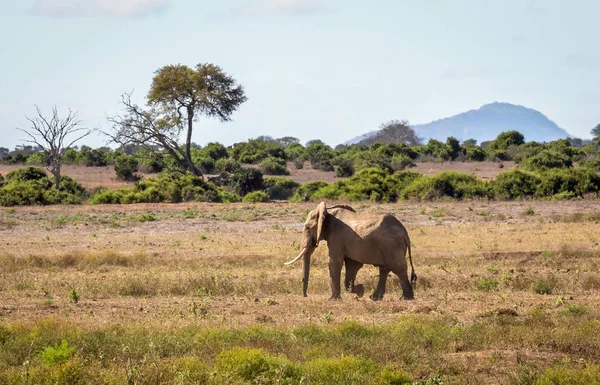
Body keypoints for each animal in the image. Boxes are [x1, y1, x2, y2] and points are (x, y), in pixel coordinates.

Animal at [286, 201, 418, 300]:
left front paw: (333, 299)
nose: (305, 296)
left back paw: (406, 298)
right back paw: (375, 298)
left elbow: (334, 262)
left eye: (307, 227)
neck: (328, 212)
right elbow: (352, 264)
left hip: (392, 246)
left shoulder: (336, 237)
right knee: (384, 269)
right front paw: (360, 291)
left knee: (398, 268)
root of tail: (404, 232)